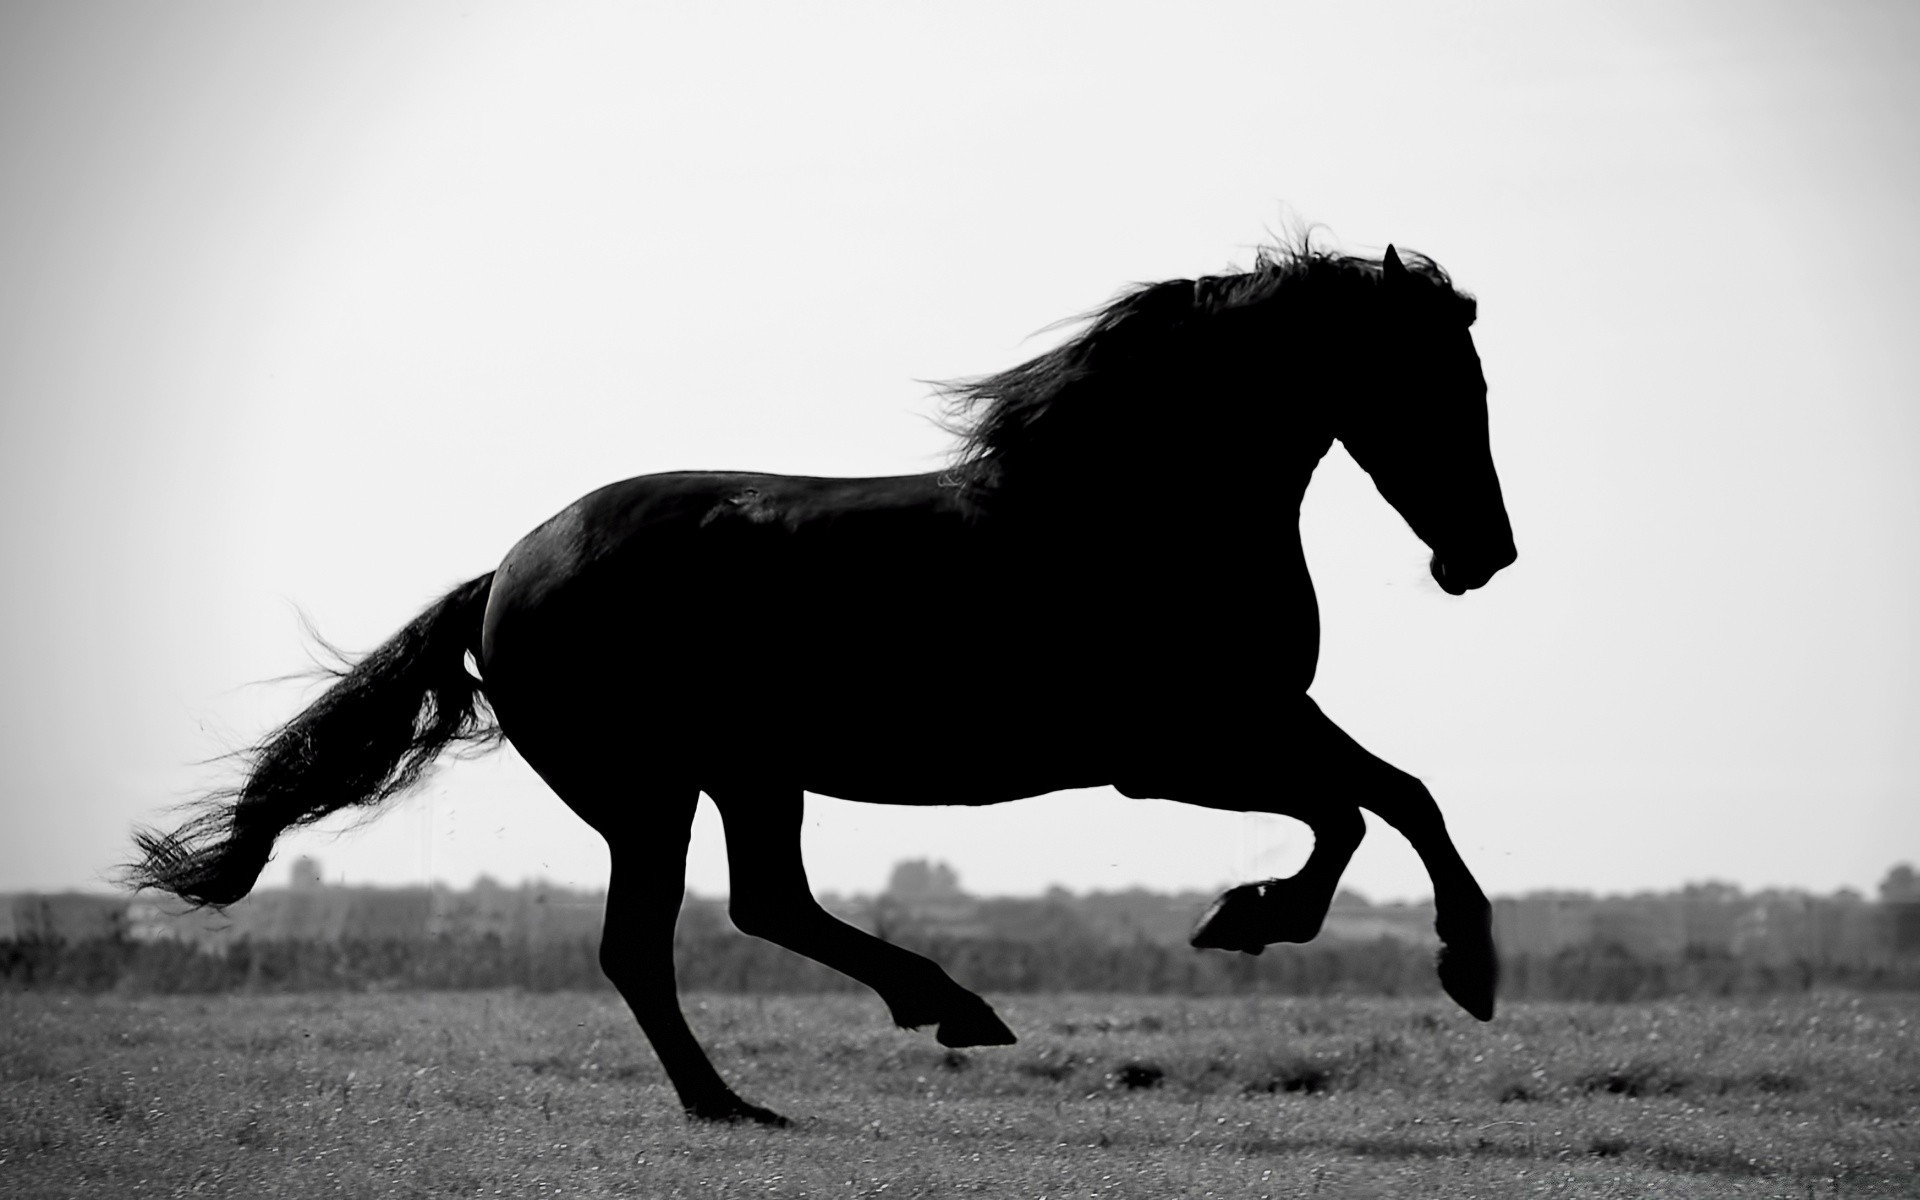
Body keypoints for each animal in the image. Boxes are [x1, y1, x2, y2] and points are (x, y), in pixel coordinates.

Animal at [131, 240, 1512, 1121]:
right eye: (1436, 381)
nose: (1483, 556)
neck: (1134, 514)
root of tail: (504, 578)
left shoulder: (1262, 719)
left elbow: (1398, 795)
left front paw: (1446, 960)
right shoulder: (1172, 752)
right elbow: (1356, 812)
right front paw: (1284, 925)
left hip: (746, 778)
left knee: (762, 907)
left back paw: (928, 1017)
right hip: (651, 789)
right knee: (650, 943)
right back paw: (751, 1098)